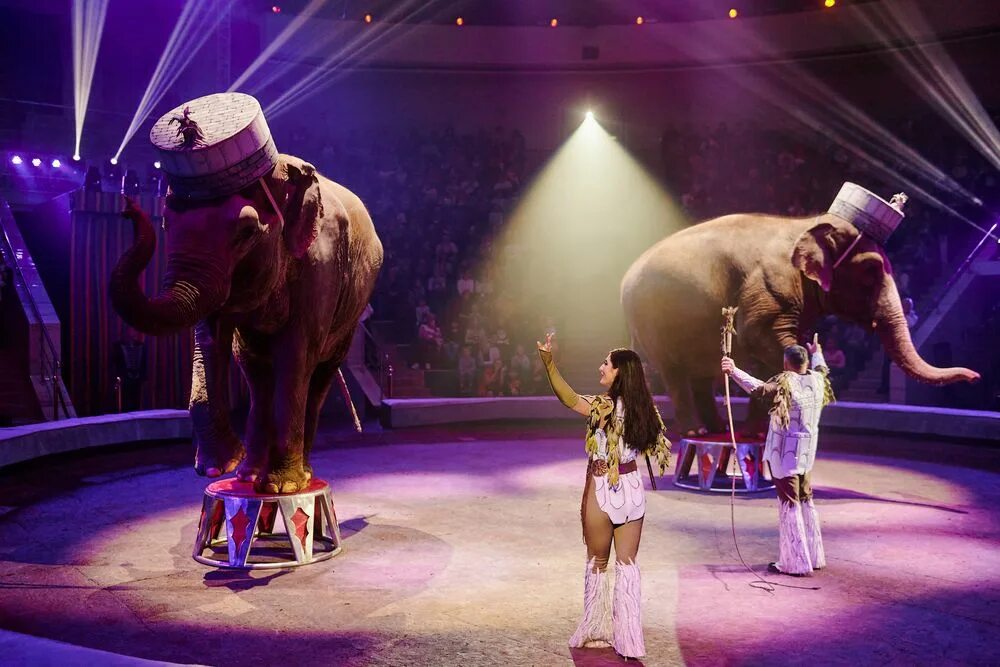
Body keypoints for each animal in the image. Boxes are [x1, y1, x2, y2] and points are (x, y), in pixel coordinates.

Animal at [109, 154, 382, 494]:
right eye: (166, 224)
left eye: (247, 232)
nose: (127, 206)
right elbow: (211, 343)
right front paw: (218, 468)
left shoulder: (321, 266)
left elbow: (295, 355)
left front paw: (282, 487)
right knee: (256, 374)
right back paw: (247, 475)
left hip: (350, 315)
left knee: (319, 374)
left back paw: (301, 475)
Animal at [620, 211, 980, 436]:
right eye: (871, 271)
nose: (975, 376)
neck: (807, 224)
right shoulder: (767, 289)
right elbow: (761, 338)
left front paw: (757, 431)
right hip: (652, 322)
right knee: (675, 374)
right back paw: (696, 430)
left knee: (699, 375)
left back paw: (718, 429)